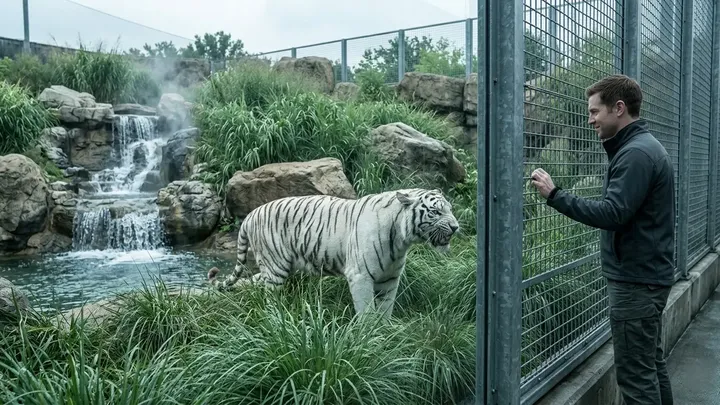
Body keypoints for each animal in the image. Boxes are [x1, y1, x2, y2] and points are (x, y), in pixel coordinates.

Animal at [207, 187, 460, 318]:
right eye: (436, 212)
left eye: (449, 209)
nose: (456, 227)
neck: (401, 239)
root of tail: (250, 215)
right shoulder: (360, 276)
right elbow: (367, 310)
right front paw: (369, 337)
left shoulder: (390, 278)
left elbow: (386, 309)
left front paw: (385, 332)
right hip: (276, 267)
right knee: (269, 296)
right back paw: (277, 316)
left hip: (274, 267)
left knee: (254, 281)